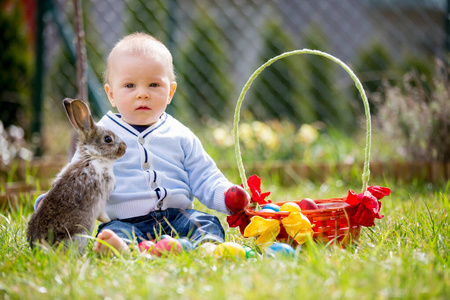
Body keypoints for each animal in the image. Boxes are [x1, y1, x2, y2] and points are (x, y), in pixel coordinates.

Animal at [27, 98, 126, 251]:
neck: (92, 157)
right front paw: (110, 220)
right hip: (80, 234)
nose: (124, 148)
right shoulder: (102, 198)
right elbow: (102, 214)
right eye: (108, 139)